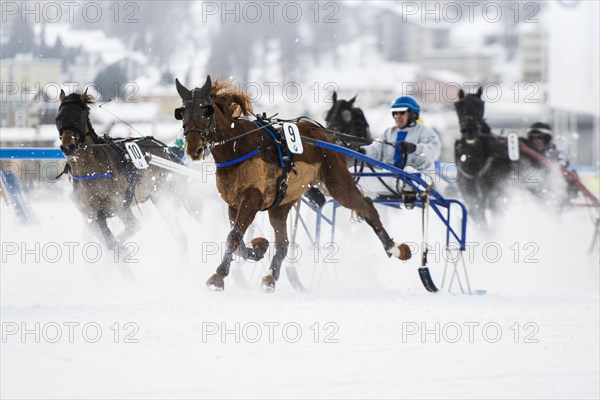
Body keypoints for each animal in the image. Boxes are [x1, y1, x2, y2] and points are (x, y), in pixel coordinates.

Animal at [56, 91, 188, 253]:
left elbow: (124, 235)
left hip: (164, 196)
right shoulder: (91, 217)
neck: (91, 171)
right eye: (59, 118)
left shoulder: (119, 207)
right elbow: (107, 243)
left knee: (180, 236)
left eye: (78, 117)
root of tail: (166, 150)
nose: (68, 147)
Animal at [175, 76, 412, 292]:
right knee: (283, 243)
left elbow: (233, 236)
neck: (238, 147)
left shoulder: (252, 197)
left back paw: (395, 247)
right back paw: (270, 277)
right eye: (183, 112)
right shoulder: (233, 203)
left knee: (365, 205)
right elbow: (238, 238)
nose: (194, 148)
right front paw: (258, 247)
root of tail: (323, 132)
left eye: (206, 110)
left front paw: (217, 277)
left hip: (337, 182)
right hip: (282, 203)